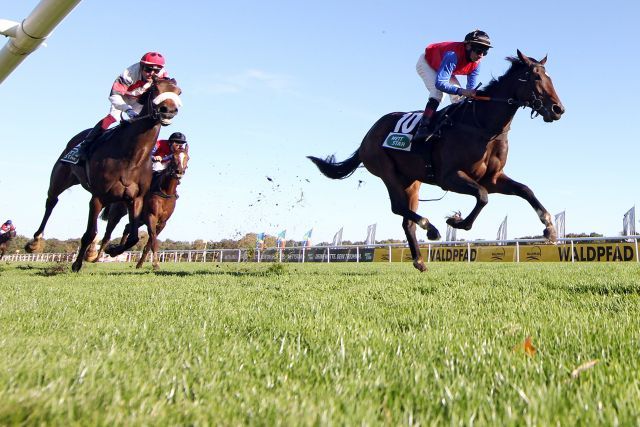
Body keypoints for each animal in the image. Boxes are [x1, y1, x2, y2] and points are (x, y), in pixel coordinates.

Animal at [26, 77, 181, 272]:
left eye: (179, 92)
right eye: (155, 88)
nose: (168, 110)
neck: (131, 157)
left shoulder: (136, 199)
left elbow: (134, 237)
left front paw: (113, 250)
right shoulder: (98, 196)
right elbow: (90, 233)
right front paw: (77, 263)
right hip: (60, 178)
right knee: (51, 202)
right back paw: (35, 241)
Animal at [310, 50, 564, 270]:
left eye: (548, 76)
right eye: (536, 77)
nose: (558, 109)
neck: (481, 126)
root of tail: (367, 136)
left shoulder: (493, 178)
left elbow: (525, 190)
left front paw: (550, 228)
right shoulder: (449, 177)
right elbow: (482, 196)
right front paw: (456, 221)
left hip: (412, 181)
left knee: (406, 219)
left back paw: (420, 260)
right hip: (387, 171)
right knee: (398, 207)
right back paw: (430, 228)